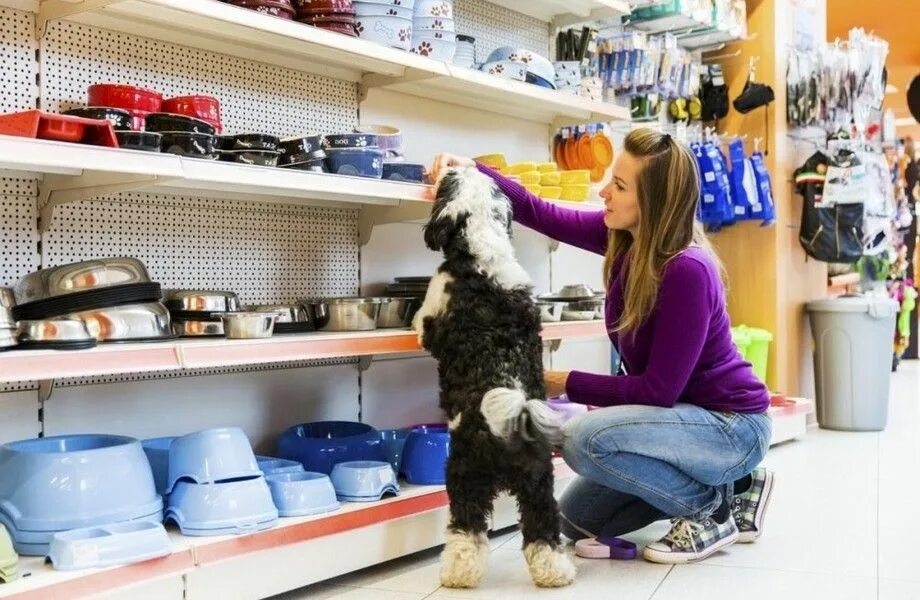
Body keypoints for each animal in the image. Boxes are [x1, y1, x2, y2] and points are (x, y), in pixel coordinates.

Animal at [416, 166, 576, 588]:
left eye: (447, 182)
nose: (452, 165)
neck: (482, 255)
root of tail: (510, 424)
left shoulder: (434, 310)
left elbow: (421, 324)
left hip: (464, 473)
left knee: (466, 530)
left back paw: (457, 574)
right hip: (539, 480)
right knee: (542, 529)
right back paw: (555, 572)